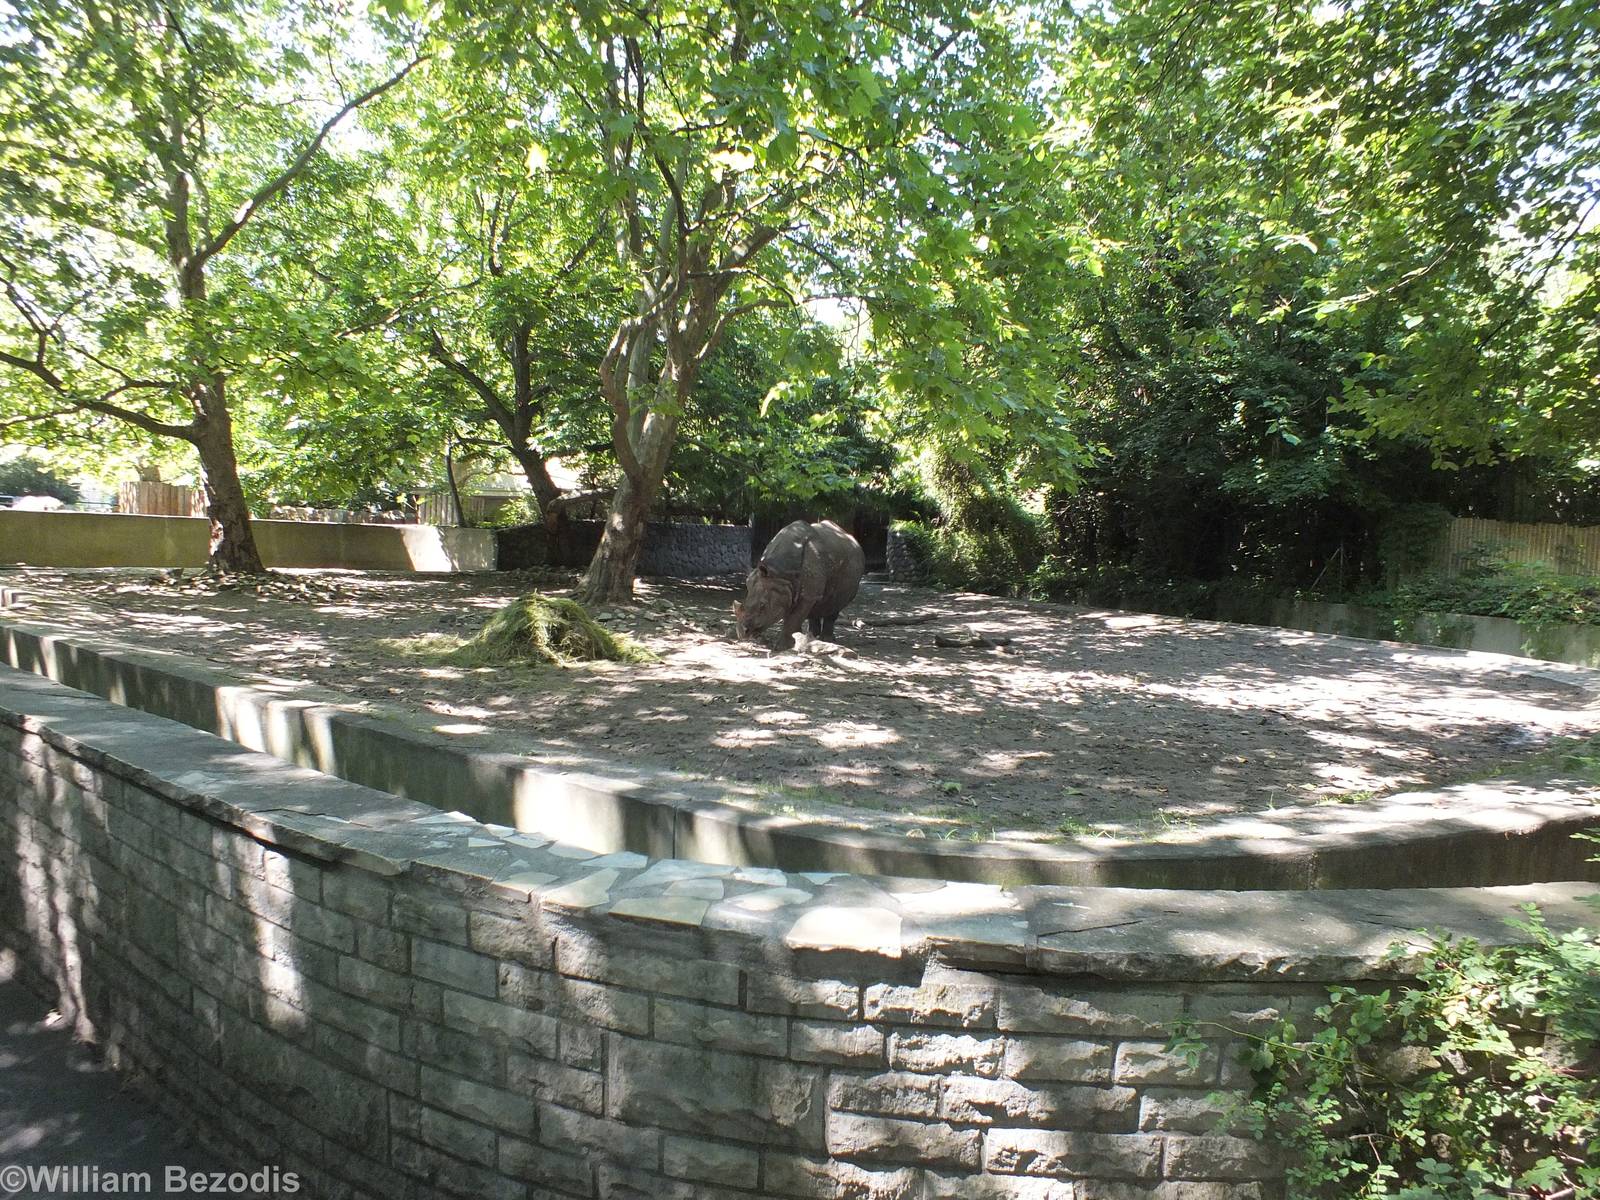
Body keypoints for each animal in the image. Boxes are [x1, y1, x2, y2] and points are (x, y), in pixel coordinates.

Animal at [734, 520, 866, 647]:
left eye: (763, 606)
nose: (742, 633)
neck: (778, 572)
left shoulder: (797, 592)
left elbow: (793, 619)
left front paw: (782, 647)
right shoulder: (784, 588)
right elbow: (791, 616)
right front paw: (796, 640)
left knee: (835, 604)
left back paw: (826, 640)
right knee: (817, 604)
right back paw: (812, 637)